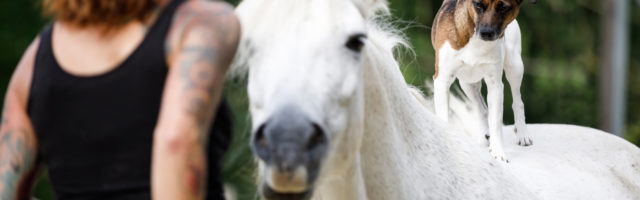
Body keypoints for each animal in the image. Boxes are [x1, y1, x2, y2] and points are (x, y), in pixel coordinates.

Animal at [430, 0, 536, 162]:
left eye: (503, 7)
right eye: (478, 5)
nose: (486, 33)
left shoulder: (495, 85)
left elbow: (496, 120)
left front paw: (498, 151)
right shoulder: (442, 80)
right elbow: (443, 116)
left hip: (515, 65)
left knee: (517, 100)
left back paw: (522, 133)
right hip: (467, 82)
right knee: (482, 109)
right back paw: (486, 135)